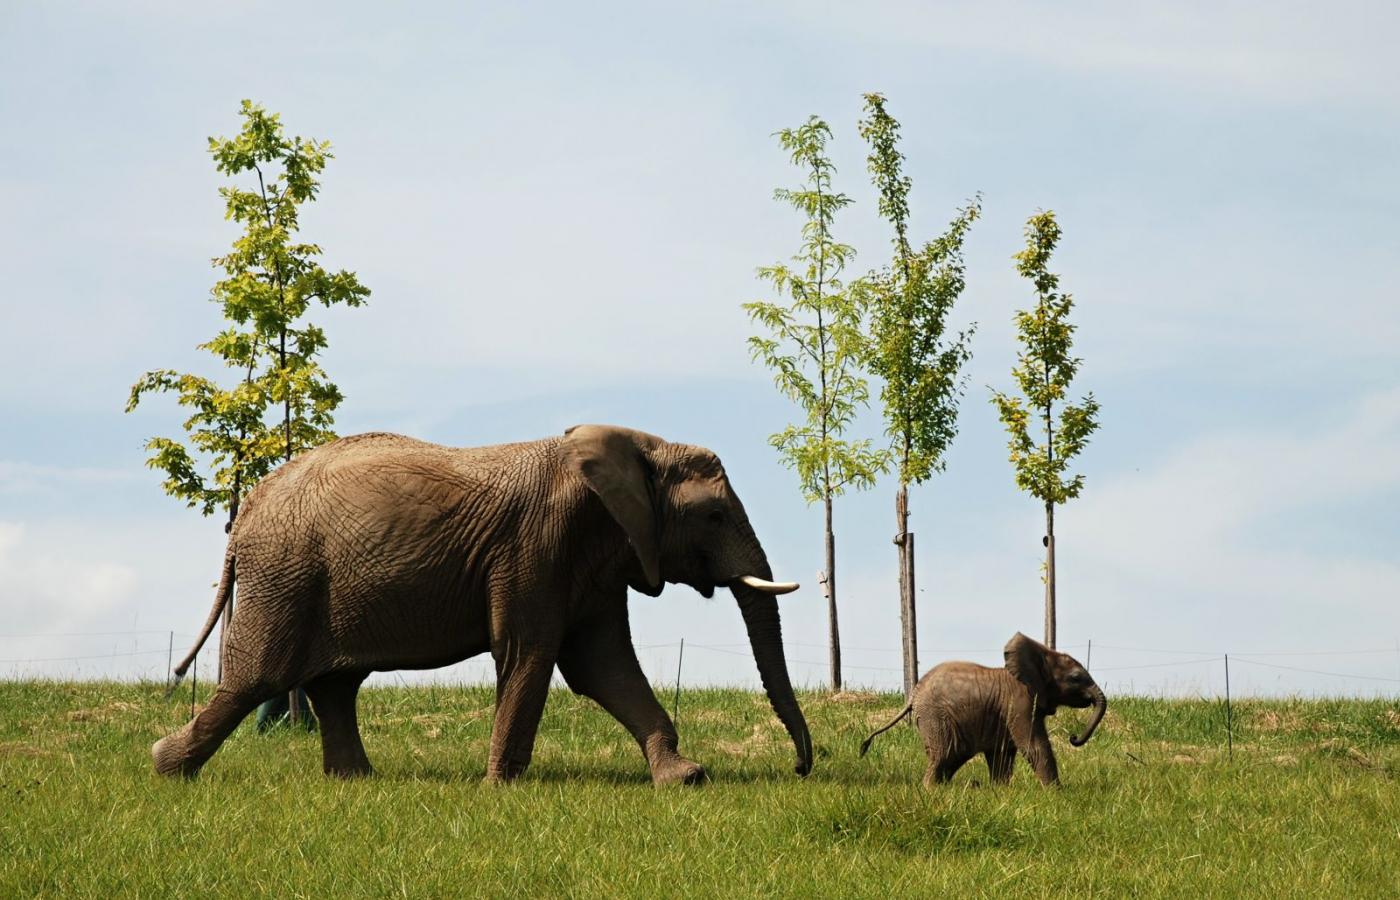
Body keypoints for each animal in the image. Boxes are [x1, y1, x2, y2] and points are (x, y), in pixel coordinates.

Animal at [151, 425, 812, 783]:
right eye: (715, 515)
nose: (802, 768)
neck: (640, 448)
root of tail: (246, 513)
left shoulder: (598, 557)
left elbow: (604, 667)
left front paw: (685, 779)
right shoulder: (536, 545)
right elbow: (530, 653)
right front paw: (502, 788)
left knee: (332, 684)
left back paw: (358, 782)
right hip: (285, 574)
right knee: (258, 679)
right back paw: (165, 767)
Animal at [862, 632, 1103, 789]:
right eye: (1075, 678)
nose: (1073, 737)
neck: (1042, 656)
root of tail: (914, 694)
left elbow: (1002, 753)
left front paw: (1001, 792)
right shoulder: (1020, 701)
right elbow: (1033, 745)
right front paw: (1056, 795)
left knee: (952, 756)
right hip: (935, 718)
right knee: (942, 754)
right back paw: (932, 790)